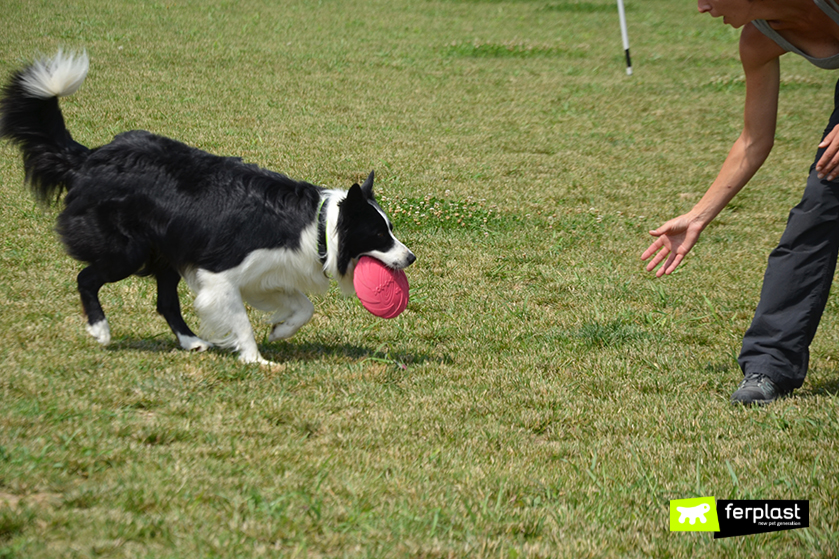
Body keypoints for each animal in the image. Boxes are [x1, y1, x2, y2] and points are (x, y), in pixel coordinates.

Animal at [0, 52, 416, 366]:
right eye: (379, 233)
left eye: (391, 228)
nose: (411, 257)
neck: (317, 227)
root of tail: (91, 157)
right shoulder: (221, 274)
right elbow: (242, 321)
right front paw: (255, 358)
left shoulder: (269, 272)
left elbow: (302, 307)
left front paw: (280, 329)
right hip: (128, 249)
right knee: (87, 278)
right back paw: (100, 329)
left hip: (165, 251)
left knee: (165, 301)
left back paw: (190, 341)